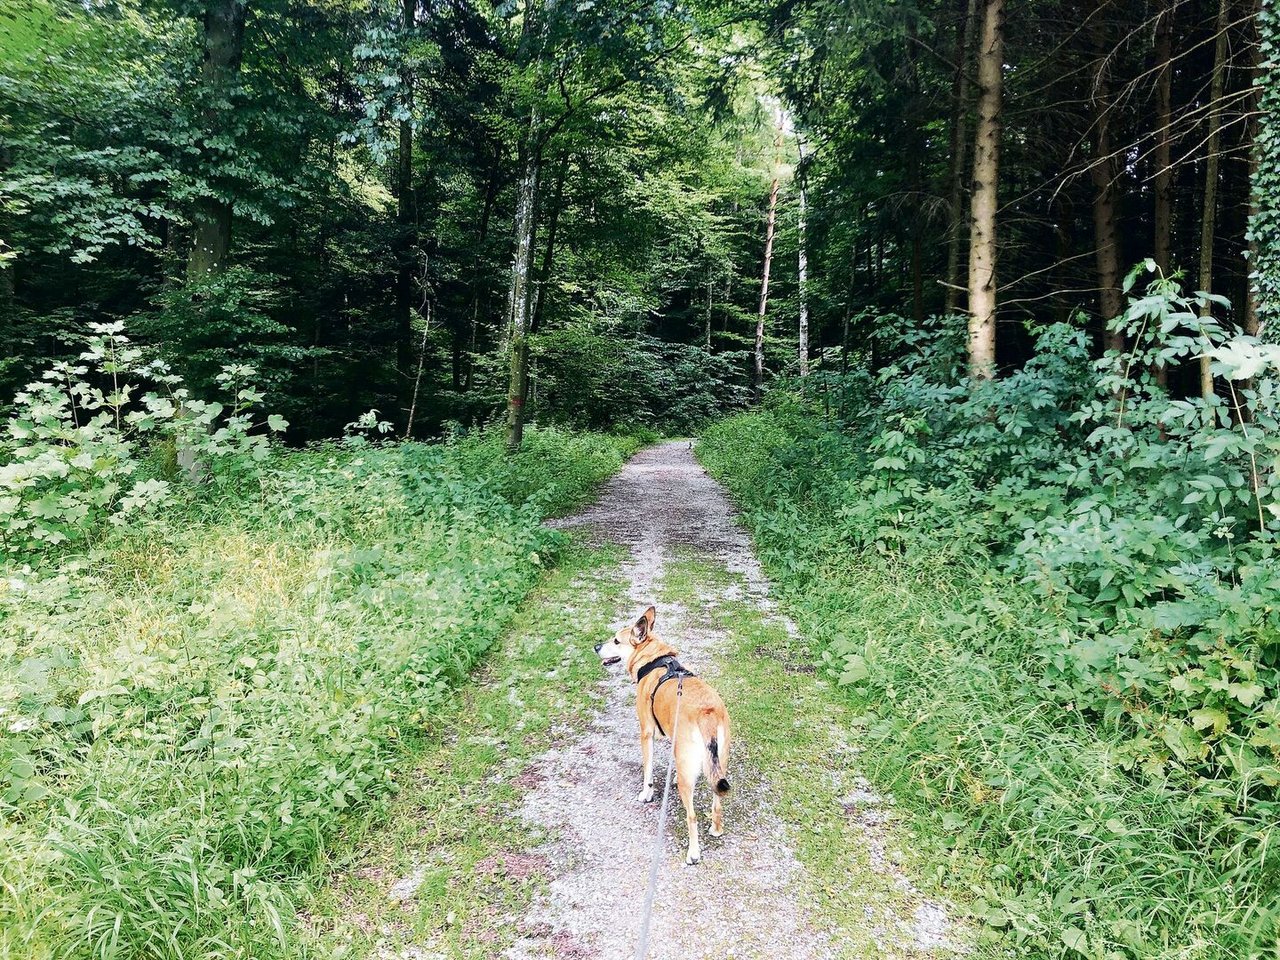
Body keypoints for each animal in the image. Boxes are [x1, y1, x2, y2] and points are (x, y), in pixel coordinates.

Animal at [591, 604, 732, 870]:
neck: (654, 661)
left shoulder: (646, 733)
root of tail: (707, 713)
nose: (595, 647)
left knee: (692, 816)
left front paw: (646, 794)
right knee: (717, 801)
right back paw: (716, 829)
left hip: (692, 784)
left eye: (616, 640)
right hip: (718, 765)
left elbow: (647, 772)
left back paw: (693, 853)